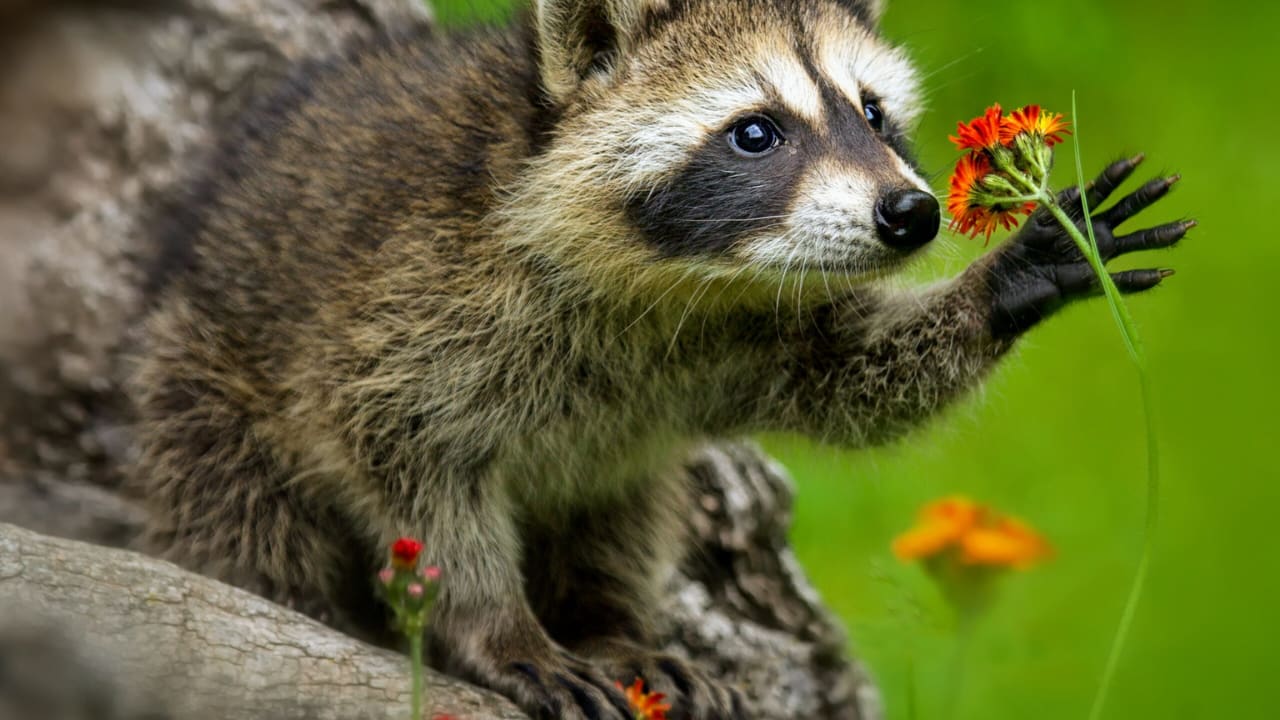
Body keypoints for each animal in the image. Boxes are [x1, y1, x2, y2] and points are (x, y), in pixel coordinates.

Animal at [134, 0, 1189, 717]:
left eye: (873, 114)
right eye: (755, 132)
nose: (912, 213)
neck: (676, 281)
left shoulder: (748, 331)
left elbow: (854, 378)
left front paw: (1010, 278)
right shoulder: (406, 308)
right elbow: (412, 471)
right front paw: (492, 622)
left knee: (626, 504)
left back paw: (610, 620)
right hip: (201, 394)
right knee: (249, 531)